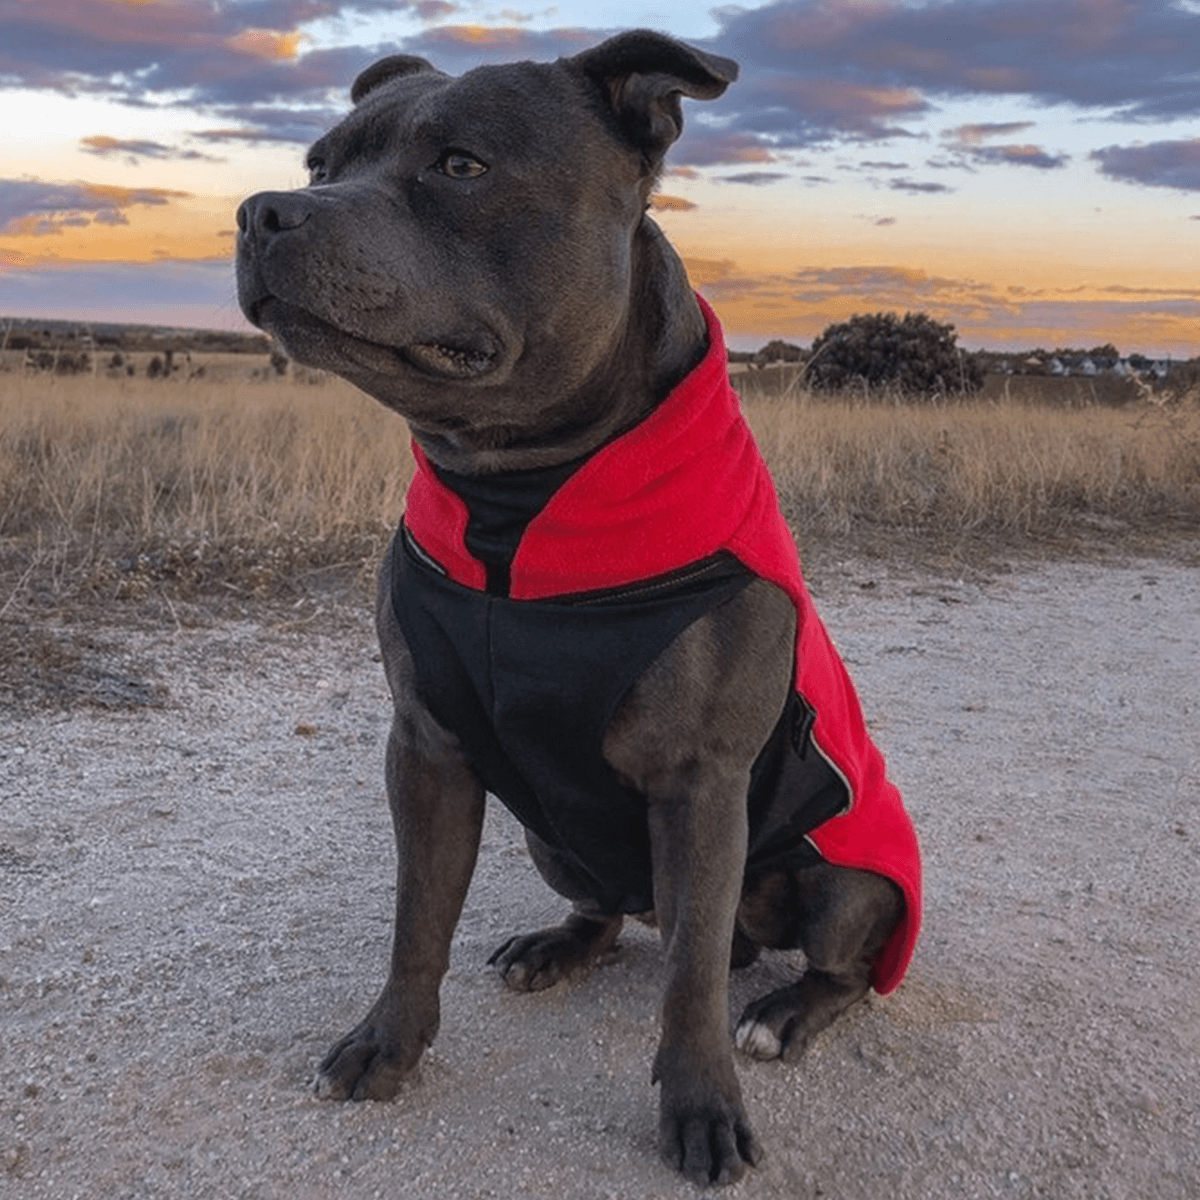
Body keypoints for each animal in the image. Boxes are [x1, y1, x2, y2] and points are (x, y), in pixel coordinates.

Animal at [238, 30, 921, 1190]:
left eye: (461, 165)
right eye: (322, 163)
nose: (261, 211)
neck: (517, 498)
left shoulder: (701, 785)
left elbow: (688, 986)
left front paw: (701, 1110)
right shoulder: (426, 748)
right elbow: (416, 919)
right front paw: (386, 1046)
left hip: (847, 878)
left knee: (812, 965)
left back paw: (781, 1012)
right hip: (553, 836)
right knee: (615, 913)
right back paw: (557, 947)